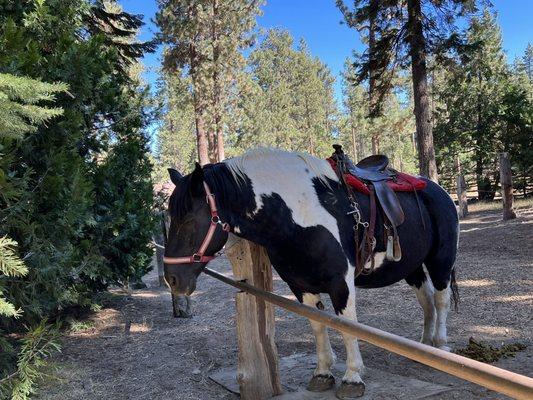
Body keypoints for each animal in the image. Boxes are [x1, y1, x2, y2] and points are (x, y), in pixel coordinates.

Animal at [162, 148, 458, 398]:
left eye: (188, 219)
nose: (171, 279)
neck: (298, 216)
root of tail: (439, 190)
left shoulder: (341, 284)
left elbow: (347, 326)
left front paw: (352, 378)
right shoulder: (301, 285)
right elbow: (318, 325)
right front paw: (323, 373)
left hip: (440, 261)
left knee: (441, 299)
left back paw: (441, 344)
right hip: (412, 267)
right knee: (426, 301)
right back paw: (425, 345)